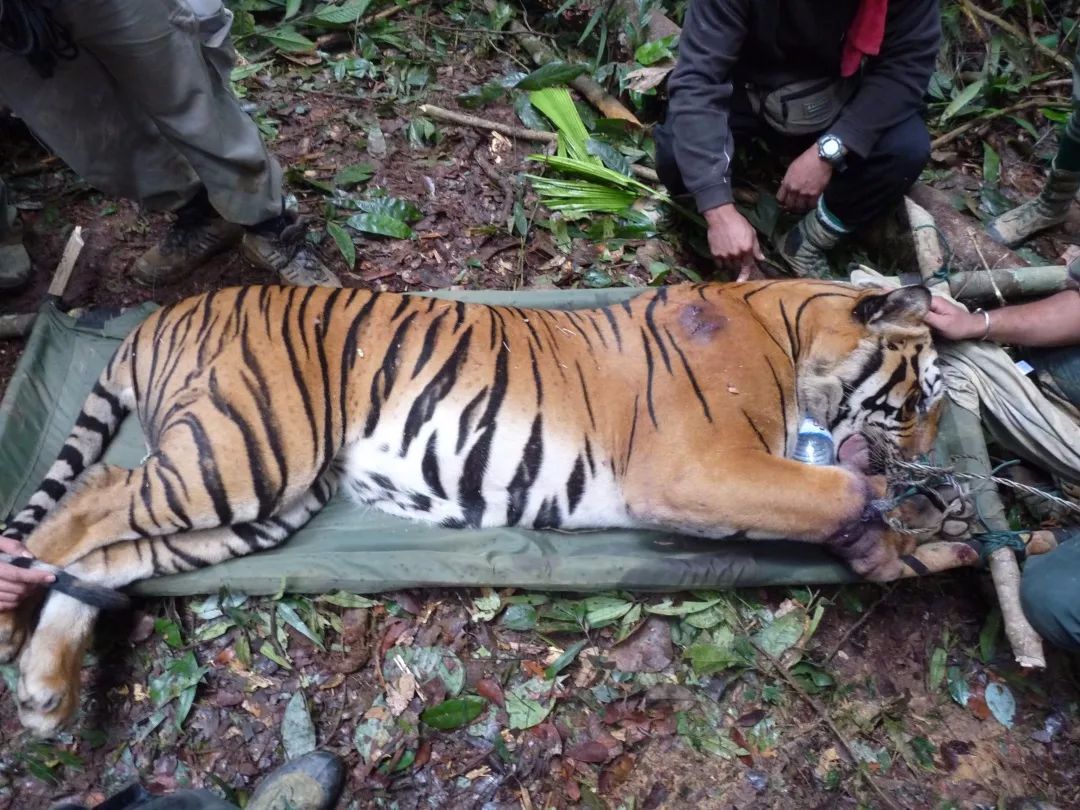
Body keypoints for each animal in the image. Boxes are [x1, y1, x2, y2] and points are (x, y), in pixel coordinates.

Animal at [0, 280, 972, 734]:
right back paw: (13, 623)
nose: (932, 453)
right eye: (920, 400)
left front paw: (924, 539)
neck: (790, 328)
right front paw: (892, 512)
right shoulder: (698, 465)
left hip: (263, 503)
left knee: (110, 556)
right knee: (91, 496)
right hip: (244, 452)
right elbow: (835, 488)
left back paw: (45, 692)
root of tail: (153, 317)